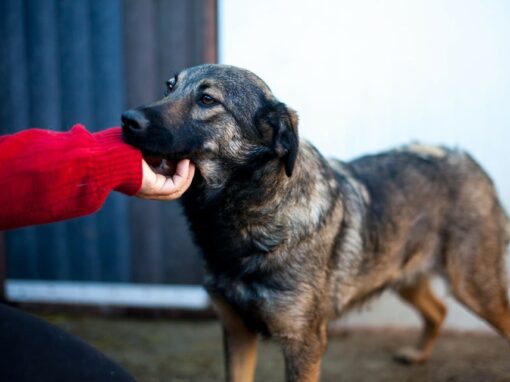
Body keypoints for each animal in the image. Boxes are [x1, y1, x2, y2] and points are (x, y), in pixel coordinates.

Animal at [122, 65, 510, 382]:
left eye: (207, 99)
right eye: (168, 87)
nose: (127, 118)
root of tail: (468, 160)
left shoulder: (303, 344)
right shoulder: (236, 331)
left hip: (474, 285)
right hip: (401, 271)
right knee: (439, 310)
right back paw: (417, 354)